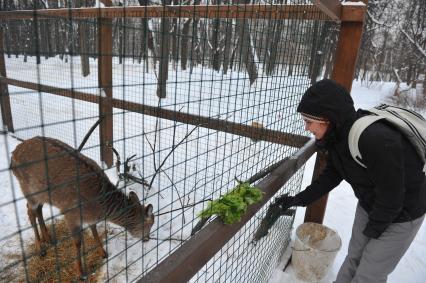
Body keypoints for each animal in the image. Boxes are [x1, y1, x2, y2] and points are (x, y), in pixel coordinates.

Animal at [10, 136, 155, 280]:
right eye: (150, 225)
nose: (148, 238)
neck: (99, 206)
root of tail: (13, 155)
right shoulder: (71, 214)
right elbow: (78, 242)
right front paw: (80, 273)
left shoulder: (91, 218)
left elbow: (95, 231)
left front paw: (104, 253)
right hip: (28, 189)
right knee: (30, 211)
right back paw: (40, 249)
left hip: (43, 195)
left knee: (38, 210)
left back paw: (48, 238)